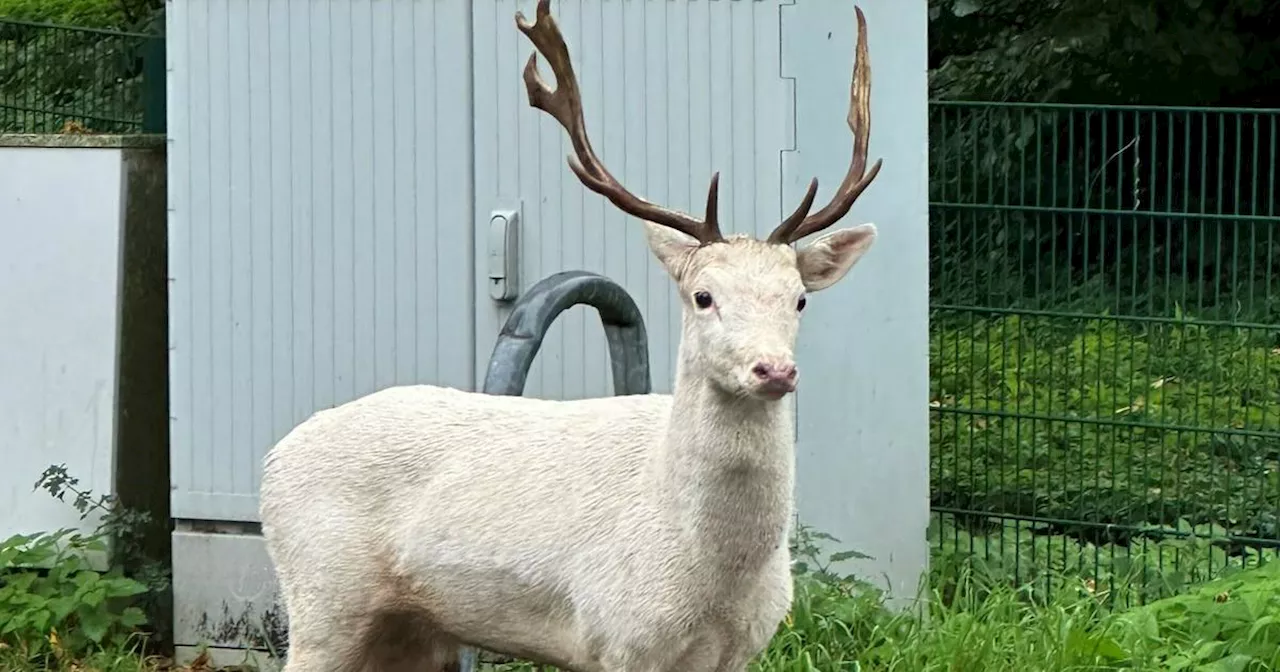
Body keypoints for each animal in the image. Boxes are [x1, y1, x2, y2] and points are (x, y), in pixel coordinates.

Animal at [258, 2, 880, 665]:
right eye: (703, 295)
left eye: (800, 299)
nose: (774, 370)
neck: (712, 578)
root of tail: (273, 461)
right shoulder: (621, 637)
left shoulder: (745, 647)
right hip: (323, 598)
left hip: (409, 628)